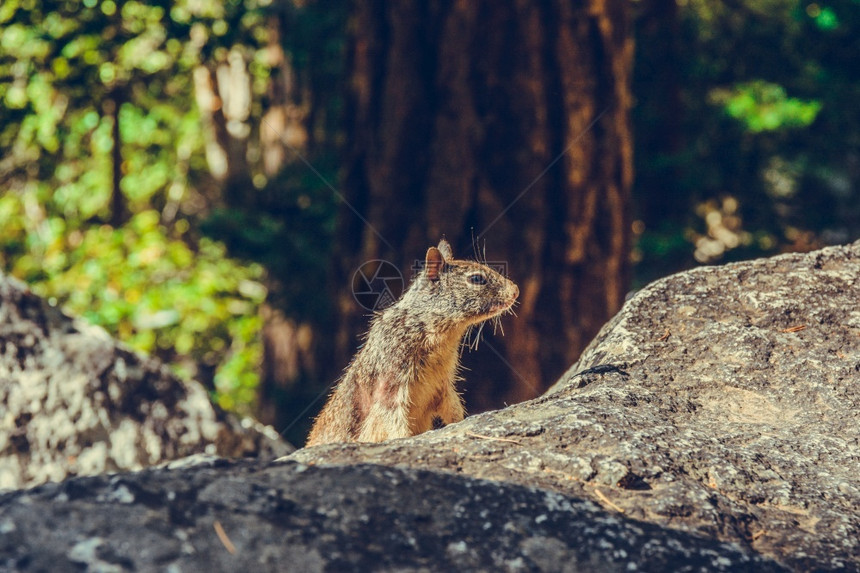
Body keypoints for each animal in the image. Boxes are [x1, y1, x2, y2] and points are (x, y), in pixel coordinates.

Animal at [306, 239, 520, 444]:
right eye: (477, 278)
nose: (516, 290)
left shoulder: (443, 386)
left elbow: (453, 409)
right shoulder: (391, 386)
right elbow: (395, 422)